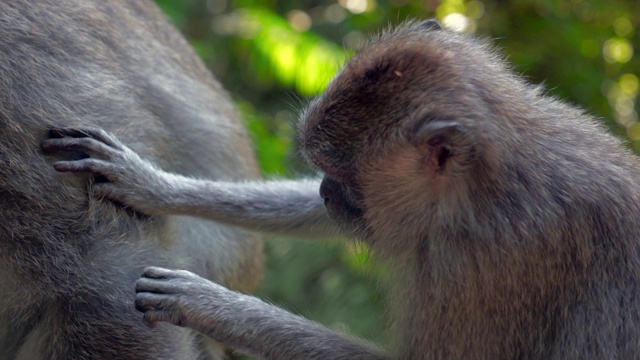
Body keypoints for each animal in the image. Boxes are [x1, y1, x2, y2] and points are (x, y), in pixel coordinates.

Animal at [42, 20, 640, 360]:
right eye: (325, 170)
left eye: (344, 174)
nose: (329, 190)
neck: (482, 183)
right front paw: (149, 183)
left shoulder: (485, 268)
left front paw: (215, 308)